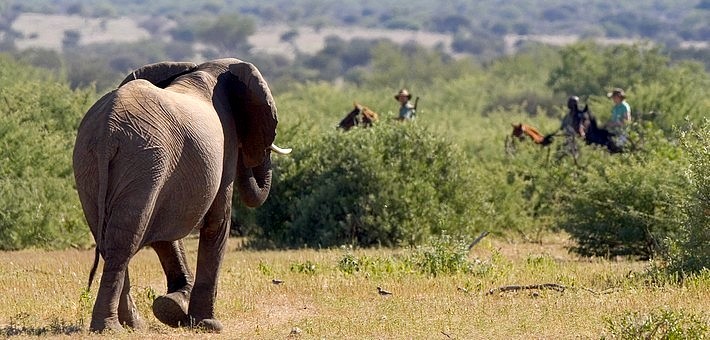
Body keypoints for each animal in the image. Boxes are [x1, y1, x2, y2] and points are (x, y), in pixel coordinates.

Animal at [73, 57, 290, 332]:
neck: (205, 69)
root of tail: (107, 131)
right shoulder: (226, 142)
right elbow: (217, 222)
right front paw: (208, 324)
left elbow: (164, 231)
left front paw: (172, 308)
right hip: (144, 159)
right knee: (124, 241)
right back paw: (110, 328)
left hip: (90, 163)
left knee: (109, 238)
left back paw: (134, 325)